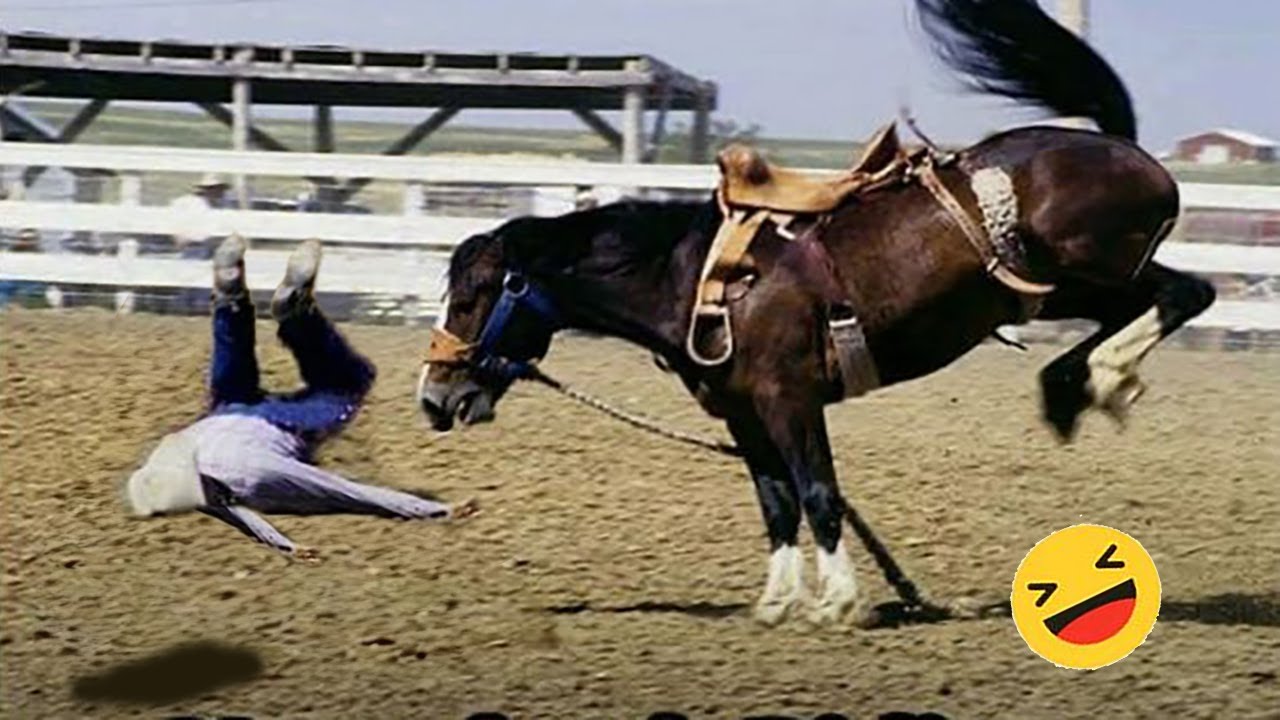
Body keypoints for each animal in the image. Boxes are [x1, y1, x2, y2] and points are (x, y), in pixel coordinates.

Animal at [417, 0, 1215, 627]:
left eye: (473, 295)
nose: (434, 396)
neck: (694, 277)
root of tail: (1112, 143)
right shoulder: (745, 414)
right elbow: (778, 503)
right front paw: (778, 601)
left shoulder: (791, 398)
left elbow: (820, 493)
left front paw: (837, 601)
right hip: (1057, 288)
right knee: (1155, 304)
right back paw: (1073, 387)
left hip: (1078, 274)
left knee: (1185, 293)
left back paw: (1102, 379)